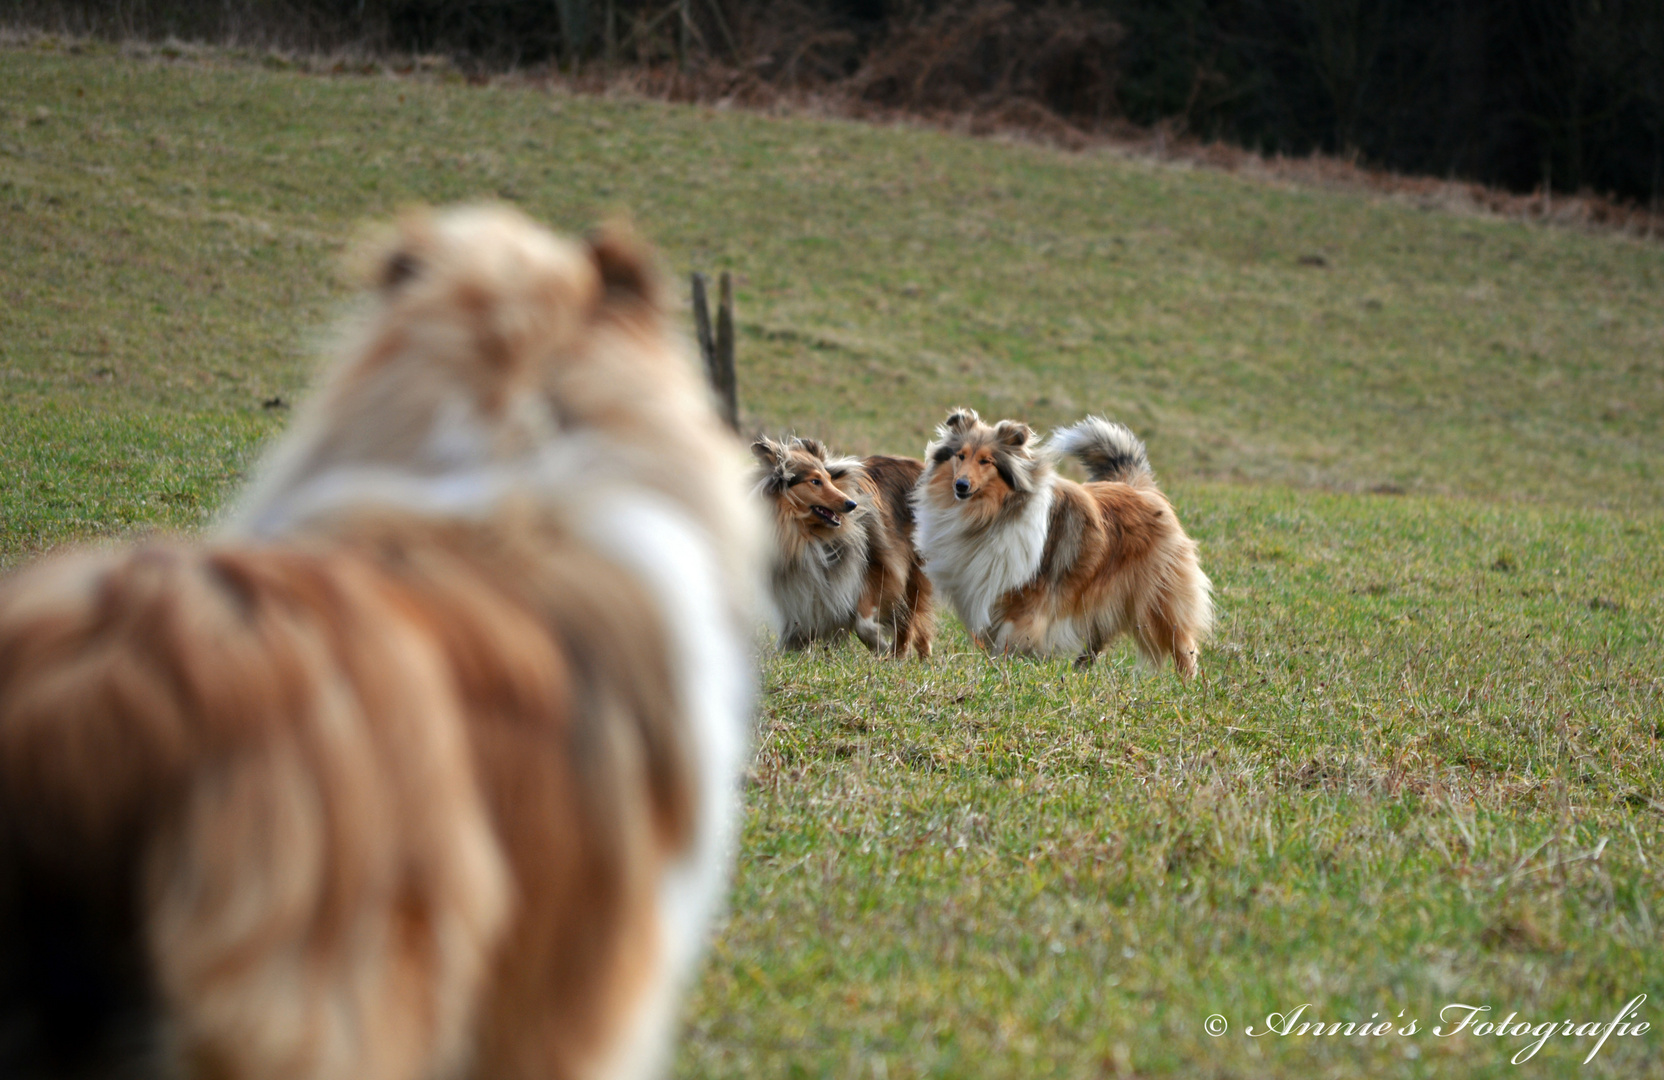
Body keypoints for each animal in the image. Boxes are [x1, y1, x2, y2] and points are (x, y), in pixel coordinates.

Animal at [755, 435, 938, 655]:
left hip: (915, 569)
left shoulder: (875, 567)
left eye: (829, 478)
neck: (803, 534)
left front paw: (880, 645)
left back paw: (901, 655)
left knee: (909, 618)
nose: (852, 504)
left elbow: (863, 622)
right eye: (815, 481)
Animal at [918, 406, 1218, 672]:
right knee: (1099, 636)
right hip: (1104, 593)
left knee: (1183, 645)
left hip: (1156, 599)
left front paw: (1005, 668)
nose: (961, 485)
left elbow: (1011, 637)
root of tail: (1137, 486)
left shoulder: (1030, 595)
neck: (992, 514)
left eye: (986, 461)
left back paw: (1189, 684)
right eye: (960, 455)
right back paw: (1079, 671)